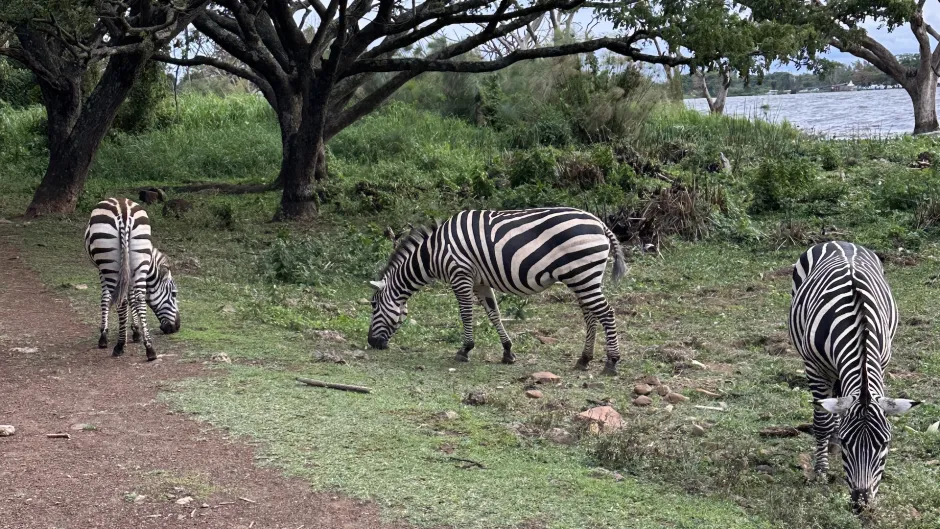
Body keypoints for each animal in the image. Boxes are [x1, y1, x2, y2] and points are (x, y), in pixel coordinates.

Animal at [85, 198, 181, 361]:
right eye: (174, 294)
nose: (177, 327)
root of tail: (123, 210)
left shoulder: (102, 270)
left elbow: (107, 298)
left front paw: (105, 335)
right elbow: (132, 299)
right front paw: (135, 331)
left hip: (109, 264)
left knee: (122, 302)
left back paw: (120, 346)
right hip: (138, 257)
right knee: (140, 299)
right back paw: (149, 349)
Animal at [367, 207, 627, 375]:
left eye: (373, 306)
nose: (371, 343)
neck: (433, 252)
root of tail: (601, 223)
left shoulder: (460, 275)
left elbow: (466, 314)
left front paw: (465, 350)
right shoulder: (480, 282)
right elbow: (494, 314)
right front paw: (507, 351)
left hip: (582, 274)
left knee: (606, 313)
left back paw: (612, 362)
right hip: (583, 277)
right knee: (590, 315)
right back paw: (584, 359)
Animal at [789, 241, 919, 512]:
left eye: (884, 444)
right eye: (849, 444)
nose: (861, 504)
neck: (858, 327)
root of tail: (838, 241)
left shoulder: (882, 362)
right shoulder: (814, 368)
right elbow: (822, 422)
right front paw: (820, 472)